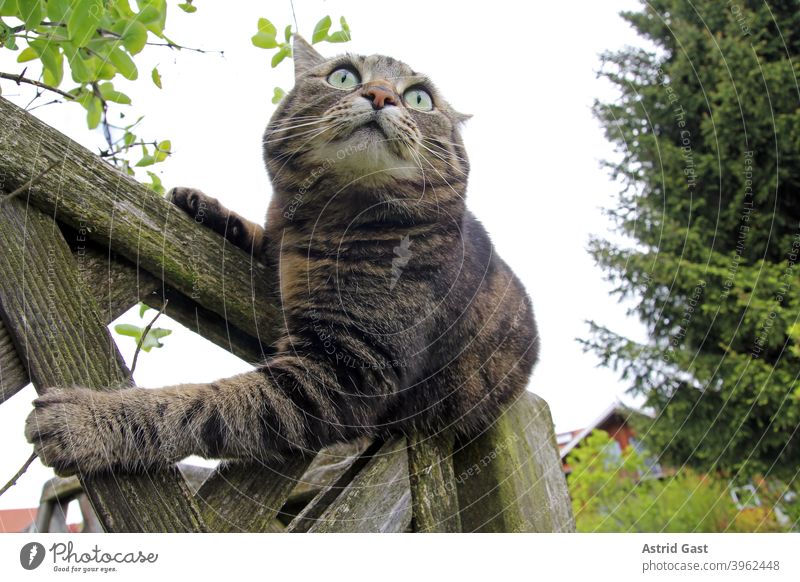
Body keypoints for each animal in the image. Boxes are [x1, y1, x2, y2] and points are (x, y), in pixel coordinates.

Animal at [25, 34, 540, 476]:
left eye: (418, 98)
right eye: (344, 77)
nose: (380, 95)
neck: (324, 221)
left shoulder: (346, 370)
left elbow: (205, 406)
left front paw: (90, 419)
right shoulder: (281, 244)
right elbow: (263, 237)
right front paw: (208, 208)